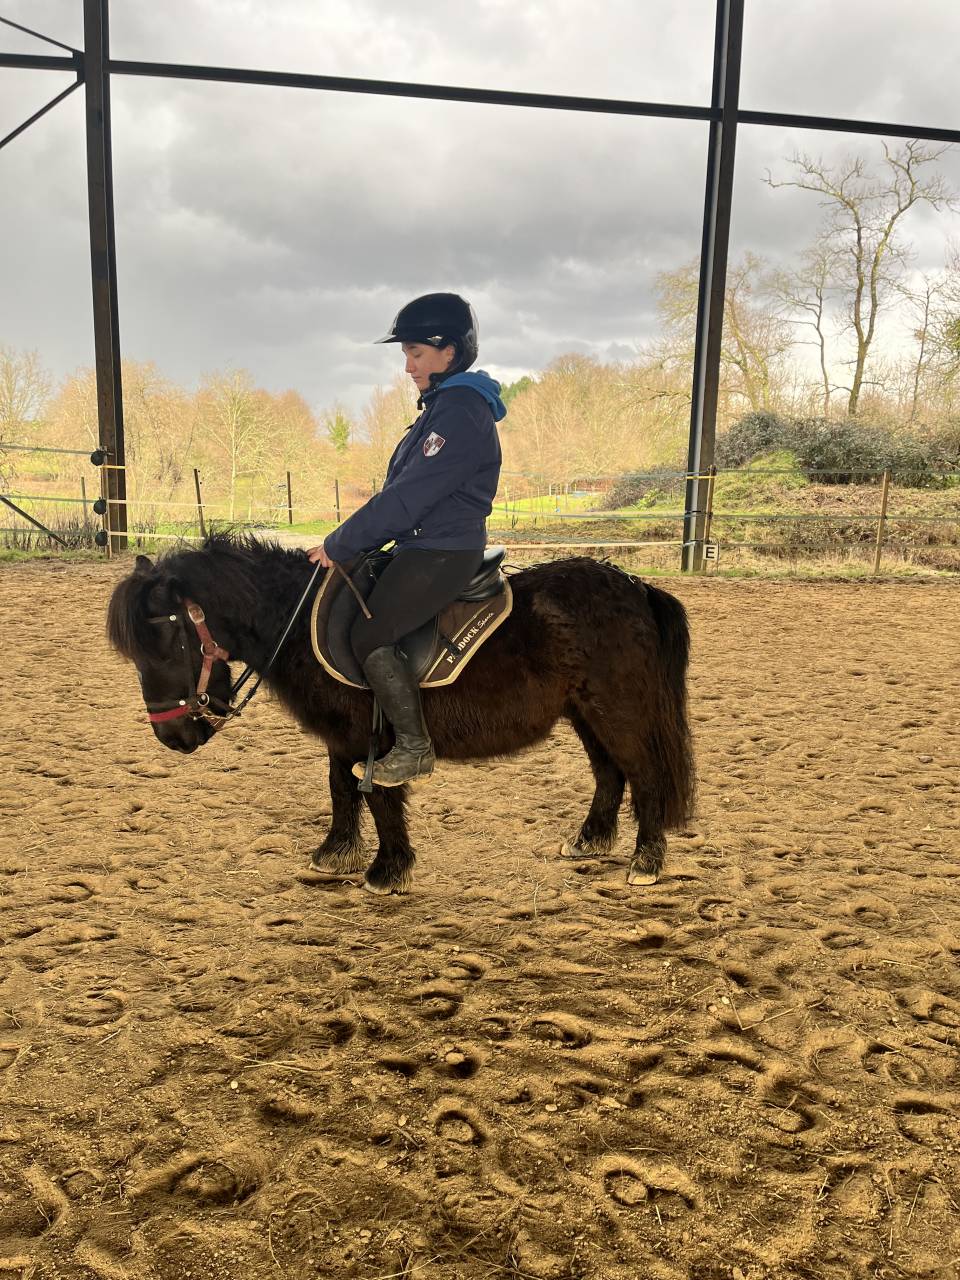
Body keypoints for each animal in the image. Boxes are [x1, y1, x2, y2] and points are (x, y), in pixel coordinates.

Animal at [106, 534, 695, 895]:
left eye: (167, 642)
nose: (173, 737)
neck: (300, 623)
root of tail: (637, 587)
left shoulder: (375, 736)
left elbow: (379, 795)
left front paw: (387, 869)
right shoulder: (342, 737)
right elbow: (342, 789)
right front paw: (336, 853)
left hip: (616, 710)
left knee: (644, 775)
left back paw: (646, 861)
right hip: (585, 712)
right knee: (609, 774)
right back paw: (590, 840)